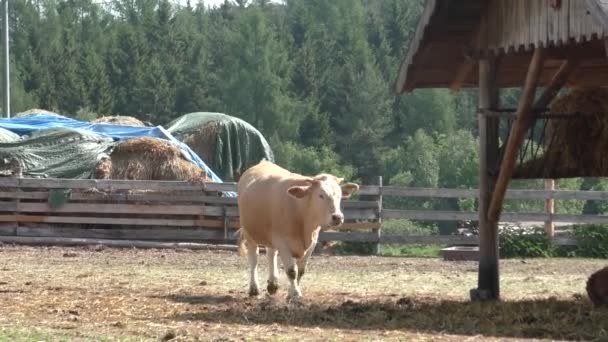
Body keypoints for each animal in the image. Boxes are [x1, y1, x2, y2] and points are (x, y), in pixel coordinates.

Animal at [236, 160, 360, 300]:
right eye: (321, 195)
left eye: (339, 196)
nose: (337, 217)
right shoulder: (282, 242)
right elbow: (291, 271)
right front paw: (295, 293)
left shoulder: (311, 243)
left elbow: (300, 271)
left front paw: (292, 292)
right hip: (249, 233)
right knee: (254, 259)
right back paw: (254, 289)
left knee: (271, 254)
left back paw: (273, 284)